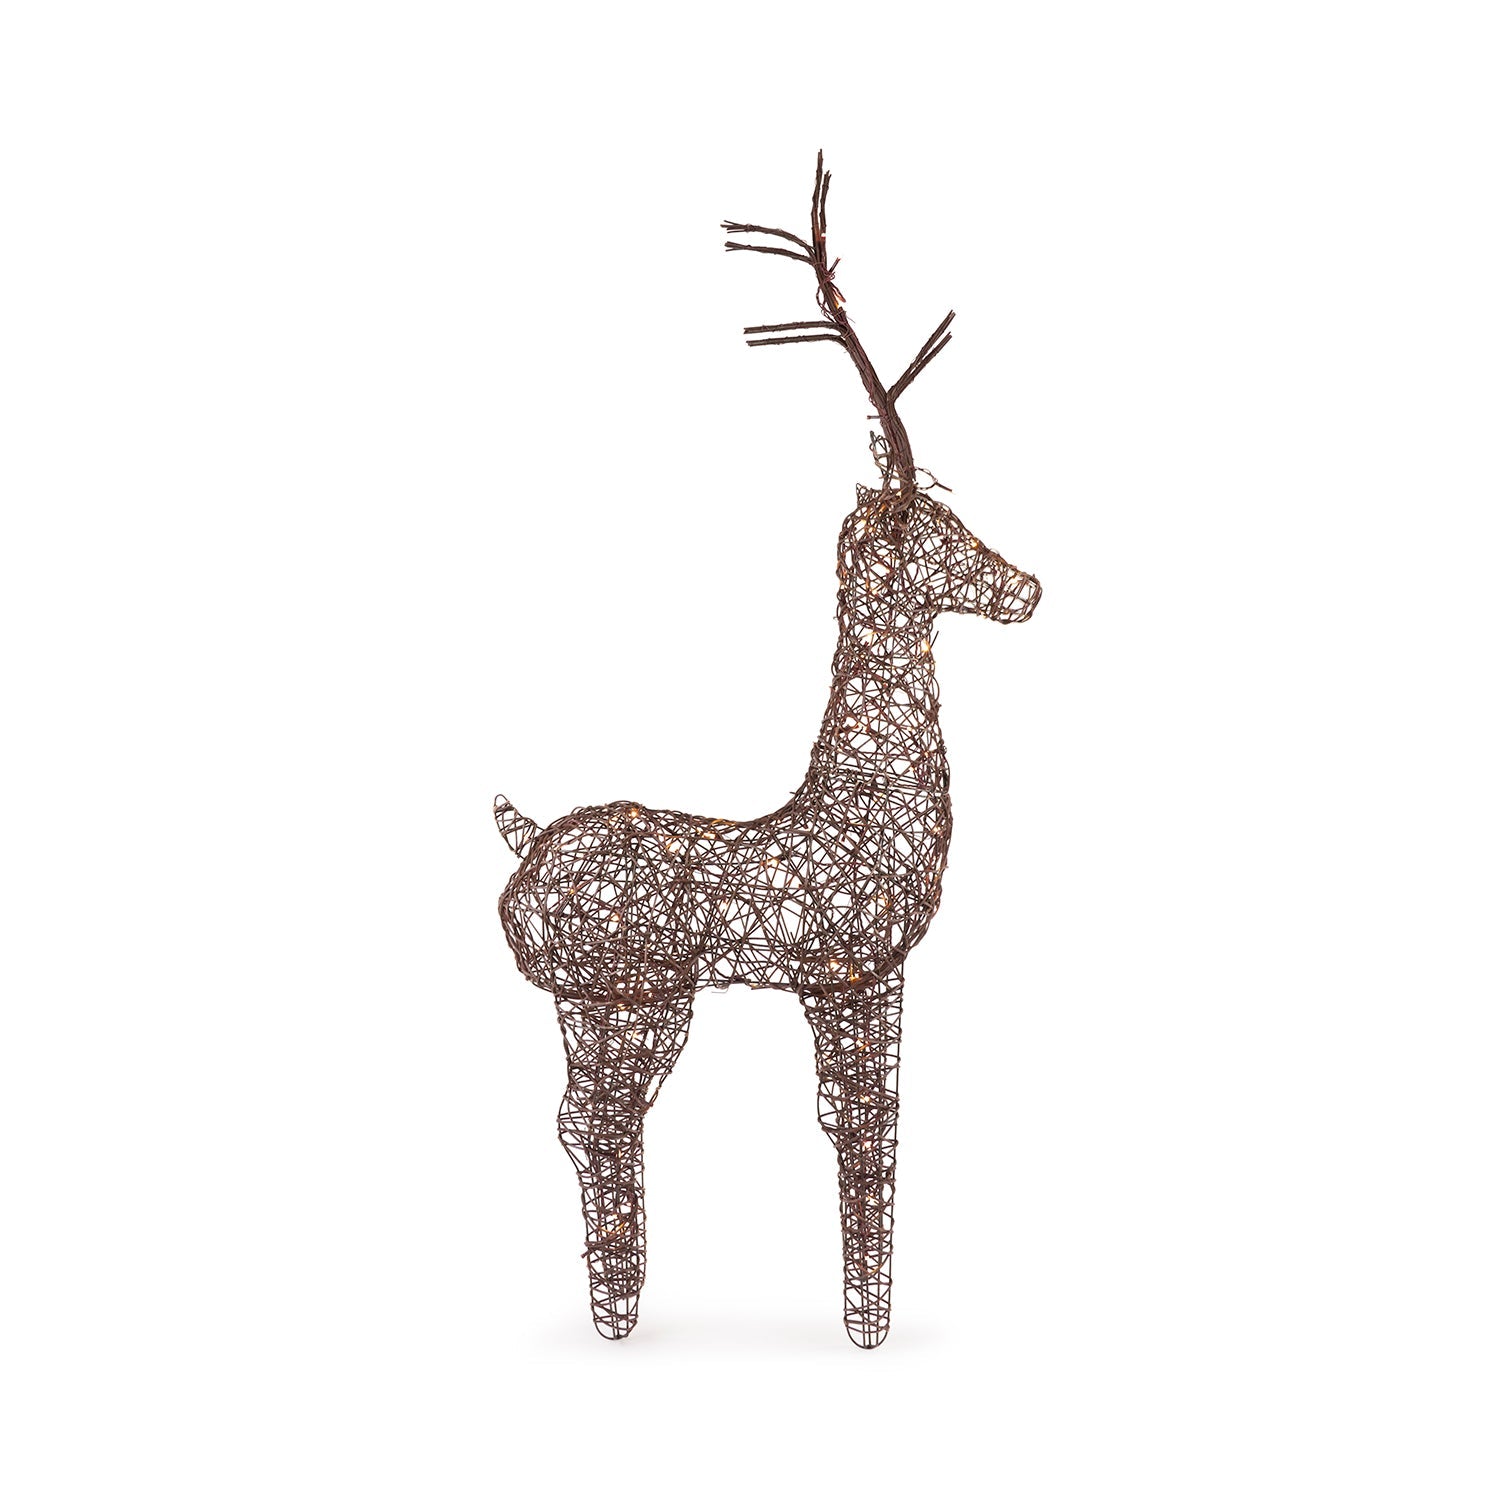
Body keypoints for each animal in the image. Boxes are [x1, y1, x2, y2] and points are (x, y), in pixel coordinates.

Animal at [494, 153, 1041, 1348]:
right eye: (939, 532)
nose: (1029, 587)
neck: (854, 803)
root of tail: (519, 851)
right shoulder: (855, 969)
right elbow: (867, 1131)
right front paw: (868, 1327)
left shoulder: (863, 976)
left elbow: (869, 1128)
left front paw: (864, 1318)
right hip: (632, 1000)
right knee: (595, 1123)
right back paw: (615, 1317)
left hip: (605, 1005)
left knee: (579, 1121)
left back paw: (619, 1308)